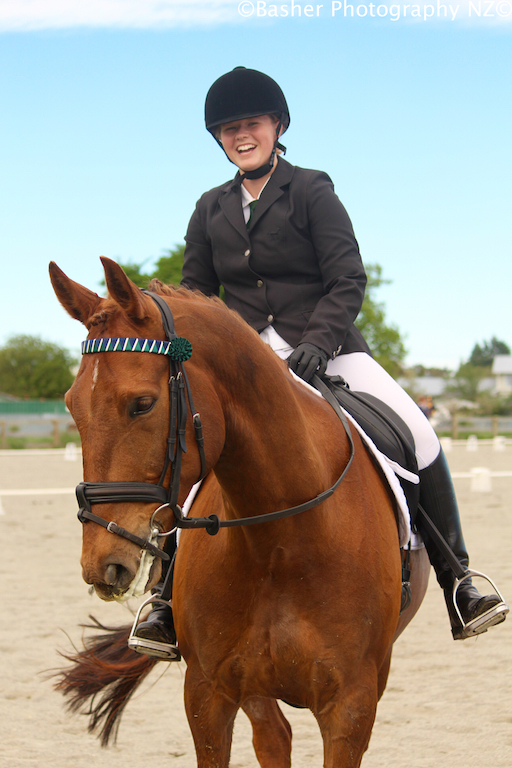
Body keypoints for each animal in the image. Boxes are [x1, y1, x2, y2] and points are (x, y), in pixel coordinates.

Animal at [51, 260, 428, 768]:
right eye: (72, 405)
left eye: (142, 403)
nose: (103, 566)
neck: (280, 542)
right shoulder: (207, 694)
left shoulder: (351, 706)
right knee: (274, 737)